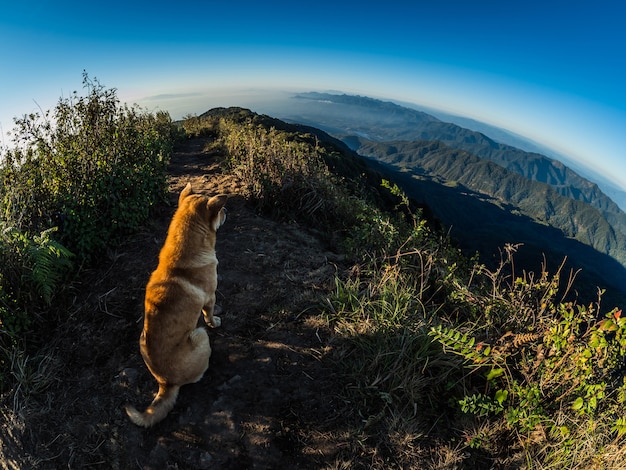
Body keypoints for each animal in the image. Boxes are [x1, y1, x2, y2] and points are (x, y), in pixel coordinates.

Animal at [125, 185, 227, 428]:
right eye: (220, 211)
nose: (226, 211)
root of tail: (165, 383)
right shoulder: (210, 298)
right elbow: (210, 314)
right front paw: (216, 321)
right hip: (200, 335)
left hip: (141, 337)